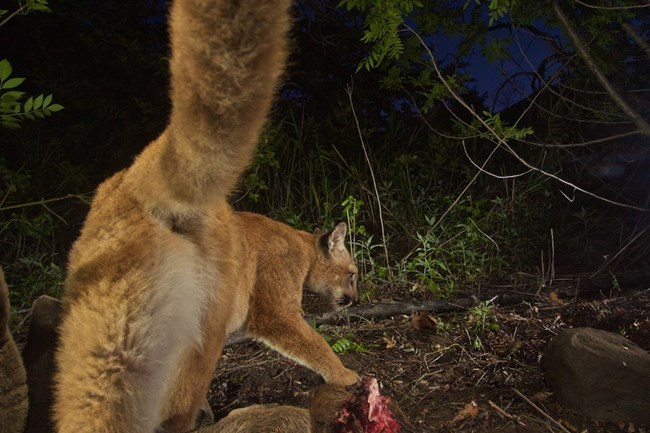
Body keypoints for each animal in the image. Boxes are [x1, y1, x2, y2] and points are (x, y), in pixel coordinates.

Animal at [53, 0, 356, 432]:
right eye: (352, 274)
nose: (354, 300)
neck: (300, 243)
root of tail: (135, 178)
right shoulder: (274, 310)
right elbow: (312, 343)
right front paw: (347, 376)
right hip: (190, 324)